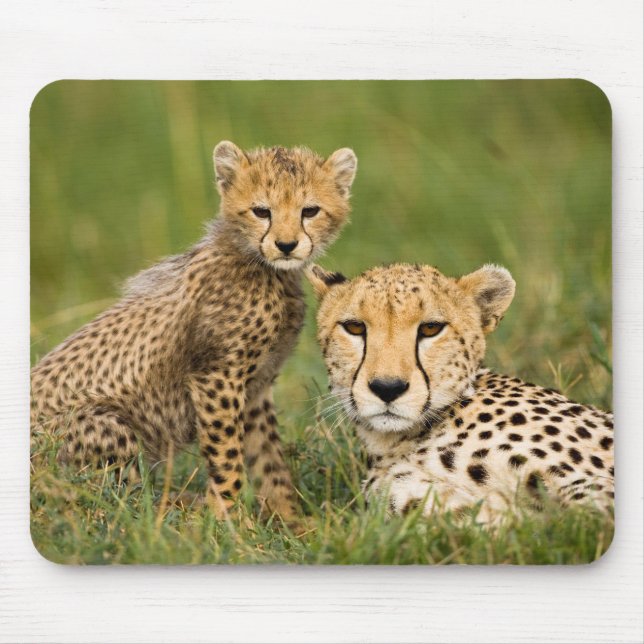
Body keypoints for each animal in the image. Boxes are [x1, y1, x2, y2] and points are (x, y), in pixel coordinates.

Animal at [31, 141, 357, 523]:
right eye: (262, 211)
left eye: (310, 211)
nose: (287, 245)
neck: (264, 268)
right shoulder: (216, 377)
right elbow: (227, 456)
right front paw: (229, 521)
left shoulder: (256, 387)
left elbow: (269, 459)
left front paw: (289, 519)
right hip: (105, 424)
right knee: (114, 503)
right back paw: (182, 509)